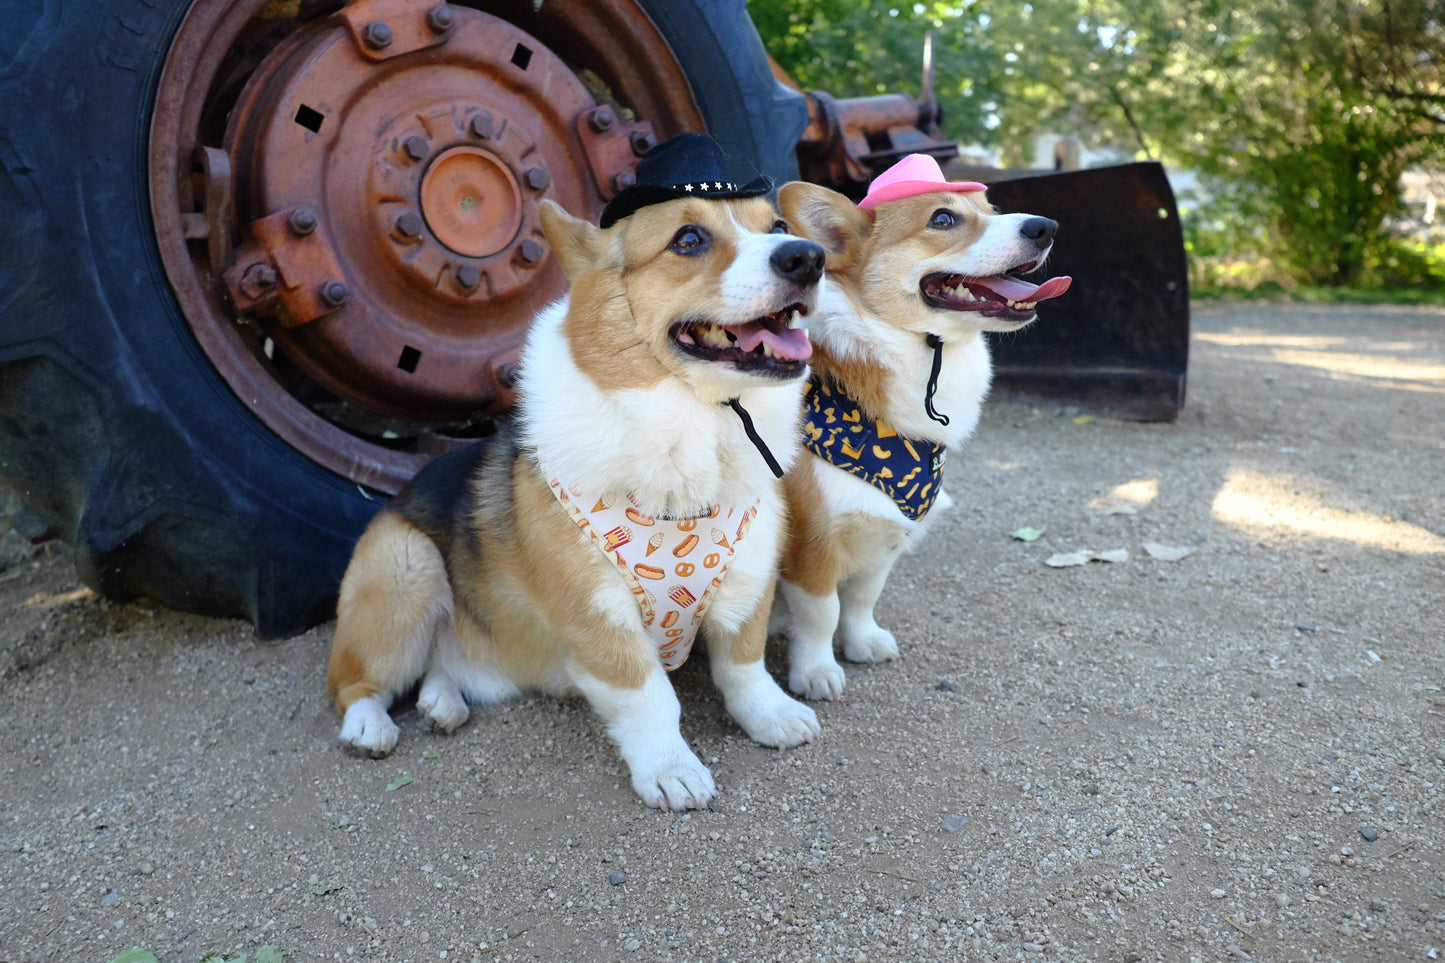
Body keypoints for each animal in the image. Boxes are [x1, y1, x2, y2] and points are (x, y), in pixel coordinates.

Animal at [326, 133, 826, 809]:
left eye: (776, 227)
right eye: (688, 239)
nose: (809, 257)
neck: (696, 427)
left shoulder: (747, 584)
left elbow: (743, 668)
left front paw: (773, 717)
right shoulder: (600, 616)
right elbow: (650, 700)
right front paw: (670, 769)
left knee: (437, 671)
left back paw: (442, 700)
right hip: (406, 568)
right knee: (353, 684)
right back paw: (370, 726)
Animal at [768, 157, 1075, 696]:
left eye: (991, 208)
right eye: (943, 219)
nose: (1046, 227)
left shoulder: (885, 539)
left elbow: (862, 600)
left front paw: (864, 643)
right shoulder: (811, 545)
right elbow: (821, 614)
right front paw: (817, 672)